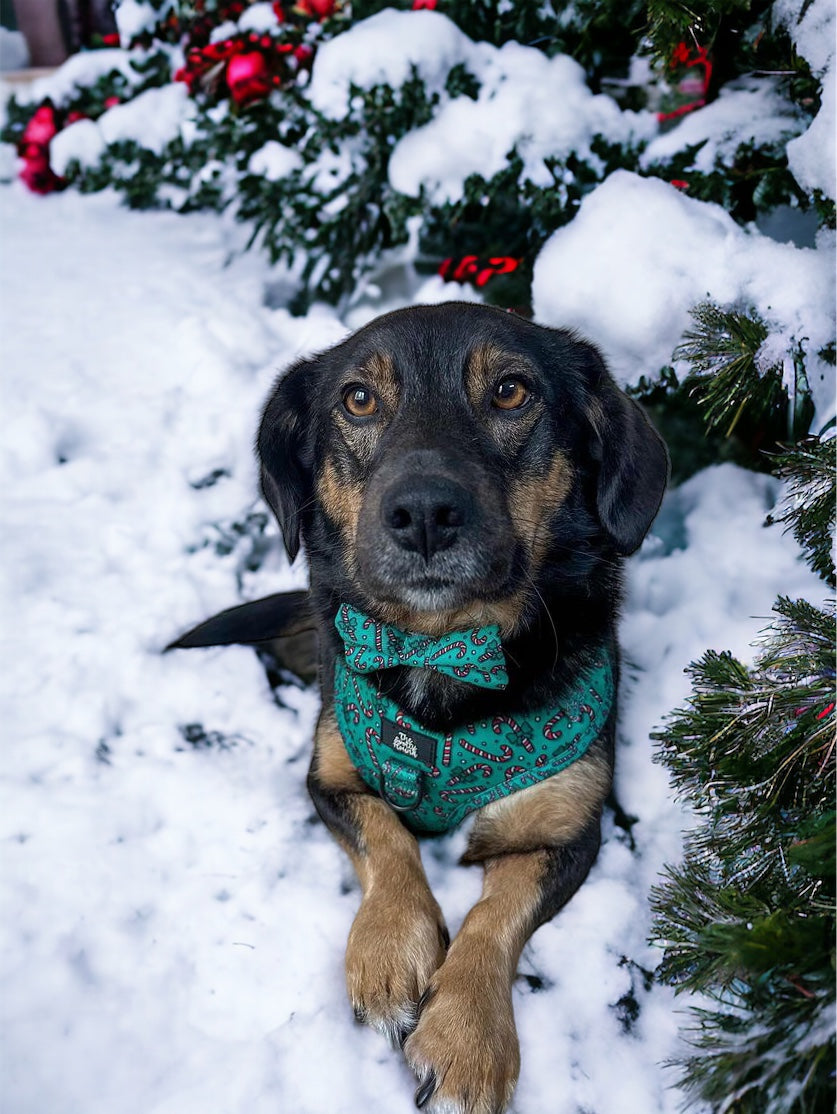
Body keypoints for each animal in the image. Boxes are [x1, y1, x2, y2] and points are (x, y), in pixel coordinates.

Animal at [171, 303, 668, 1114]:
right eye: (358, 400)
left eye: (511, 391)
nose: (425, 513)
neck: (447, 648)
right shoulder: (330, 777)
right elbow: (388, 840)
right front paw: (387, 953)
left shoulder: (567, 832)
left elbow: (495, 914)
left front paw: (467, 1040)